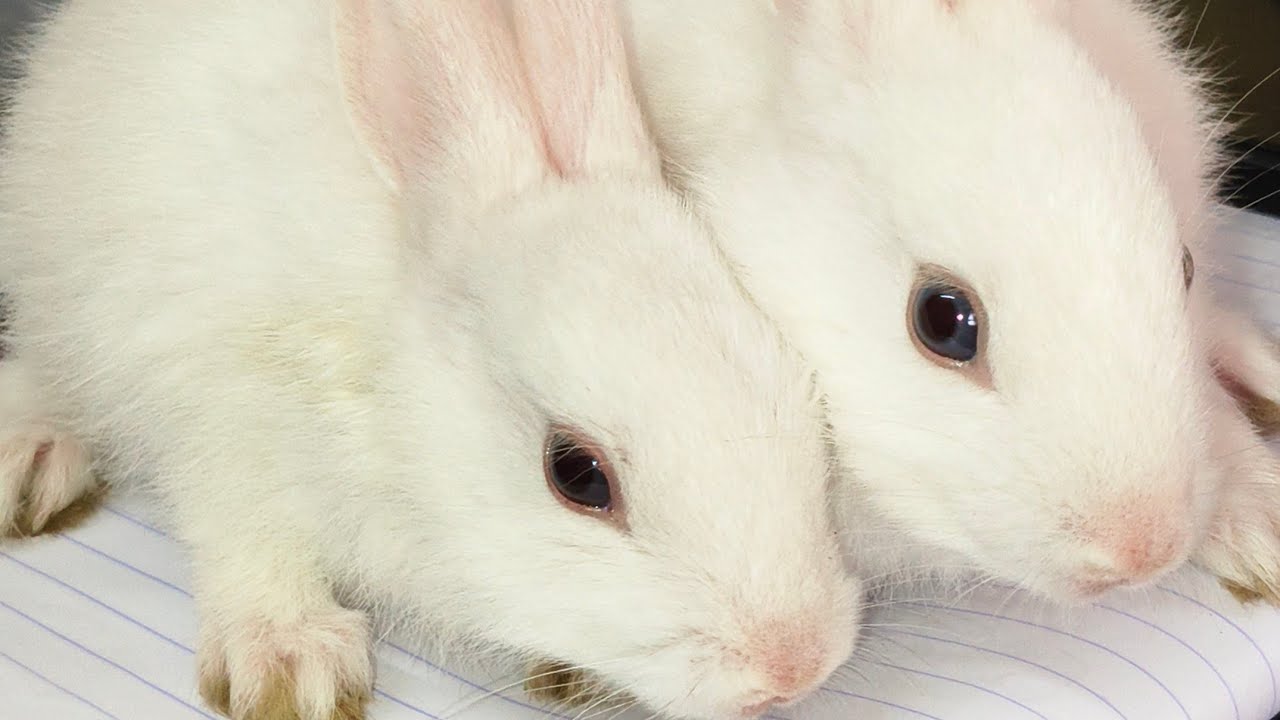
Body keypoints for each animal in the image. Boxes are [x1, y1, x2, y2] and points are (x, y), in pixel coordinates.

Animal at [0, 0, 864, 718]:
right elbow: (247, 542)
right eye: (577, 475)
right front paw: (291, 665)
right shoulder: (224, 417)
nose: (795, 665)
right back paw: (32, 460)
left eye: (804, 417)